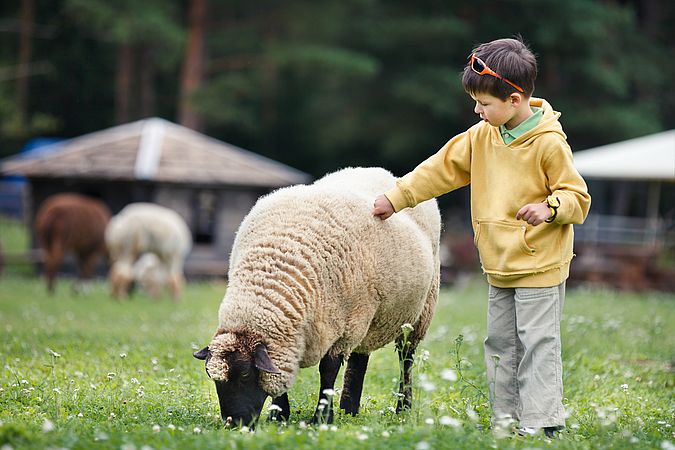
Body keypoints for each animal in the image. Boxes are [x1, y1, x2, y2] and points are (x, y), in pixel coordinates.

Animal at [193, 167, 440, 428]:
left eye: (244, 374)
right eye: (211, 376)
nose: (234, 424)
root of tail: (383, 172)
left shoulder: (344, 326)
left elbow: (328, 370)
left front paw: (323, 417)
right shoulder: (296, 334)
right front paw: (278, 415)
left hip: (415, 314)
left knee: (406, 360)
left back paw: (402, 408)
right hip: (369, 319)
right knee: (360, 359)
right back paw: (349, 409)